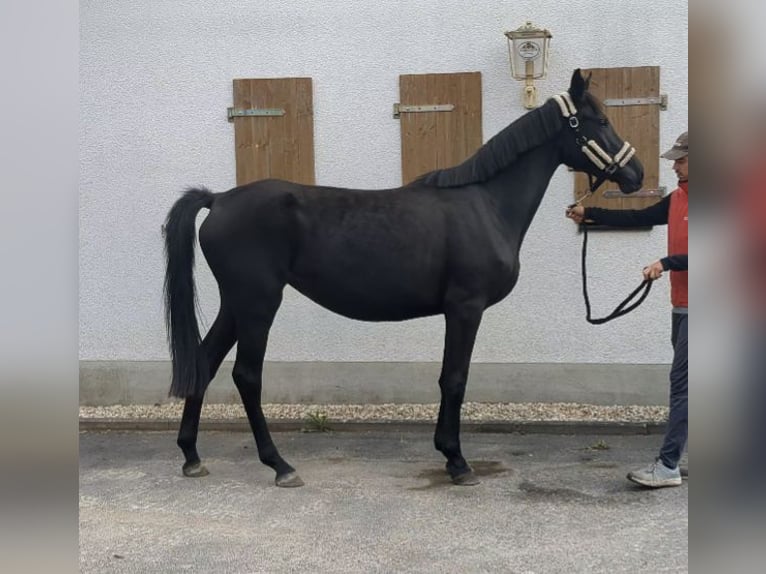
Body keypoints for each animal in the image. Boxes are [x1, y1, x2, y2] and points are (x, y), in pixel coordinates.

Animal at [163, 69, 643, 487]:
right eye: (600, 121)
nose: (635, 174)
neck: (486, 203)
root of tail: (219, 199)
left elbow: (450, 378)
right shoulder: (465, 308)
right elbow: (454, 379)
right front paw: (456, 460)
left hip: (237, 303)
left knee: (204, 362)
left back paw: (191, 456)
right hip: (259, 303)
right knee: (246, 375)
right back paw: (280, 466)